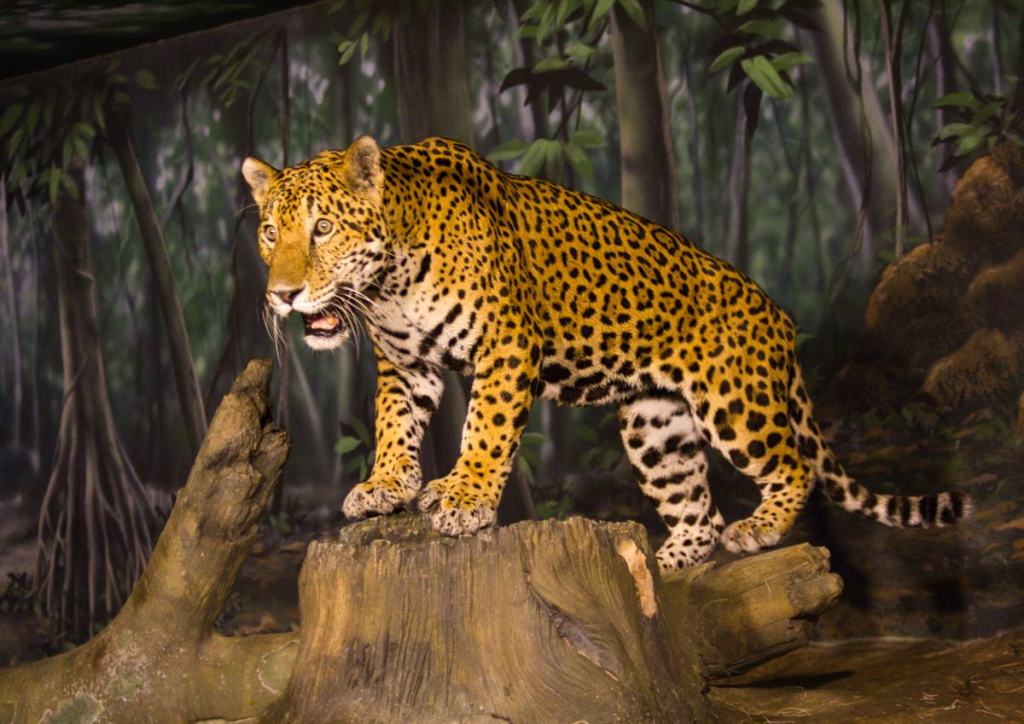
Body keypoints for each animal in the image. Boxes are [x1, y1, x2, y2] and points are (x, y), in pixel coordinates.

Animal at [241, 135, 970, 571]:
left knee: (792, 466)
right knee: (697, 509)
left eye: (323, 228)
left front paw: (465, 495)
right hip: (656, 424)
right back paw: (665, 563)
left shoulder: (506, 346)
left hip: (736, 402)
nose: (281, 294)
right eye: (271, 232)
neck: (388, 280)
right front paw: (387, 486)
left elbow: (485, 429)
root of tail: (777, 312)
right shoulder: (404, 363)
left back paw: (759, 528)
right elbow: (396, 424)